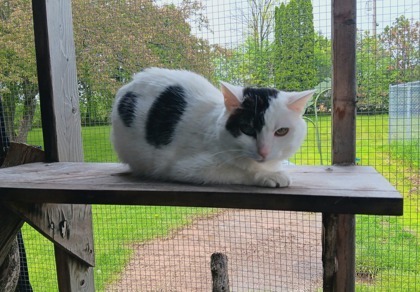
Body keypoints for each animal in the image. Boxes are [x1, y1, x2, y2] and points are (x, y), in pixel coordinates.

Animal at [110, 67, 314, 188]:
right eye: (247, 129)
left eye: (281, 132)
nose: (263, 151)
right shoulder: (181, 167)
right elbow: (239, 171)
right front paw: (269, 176)